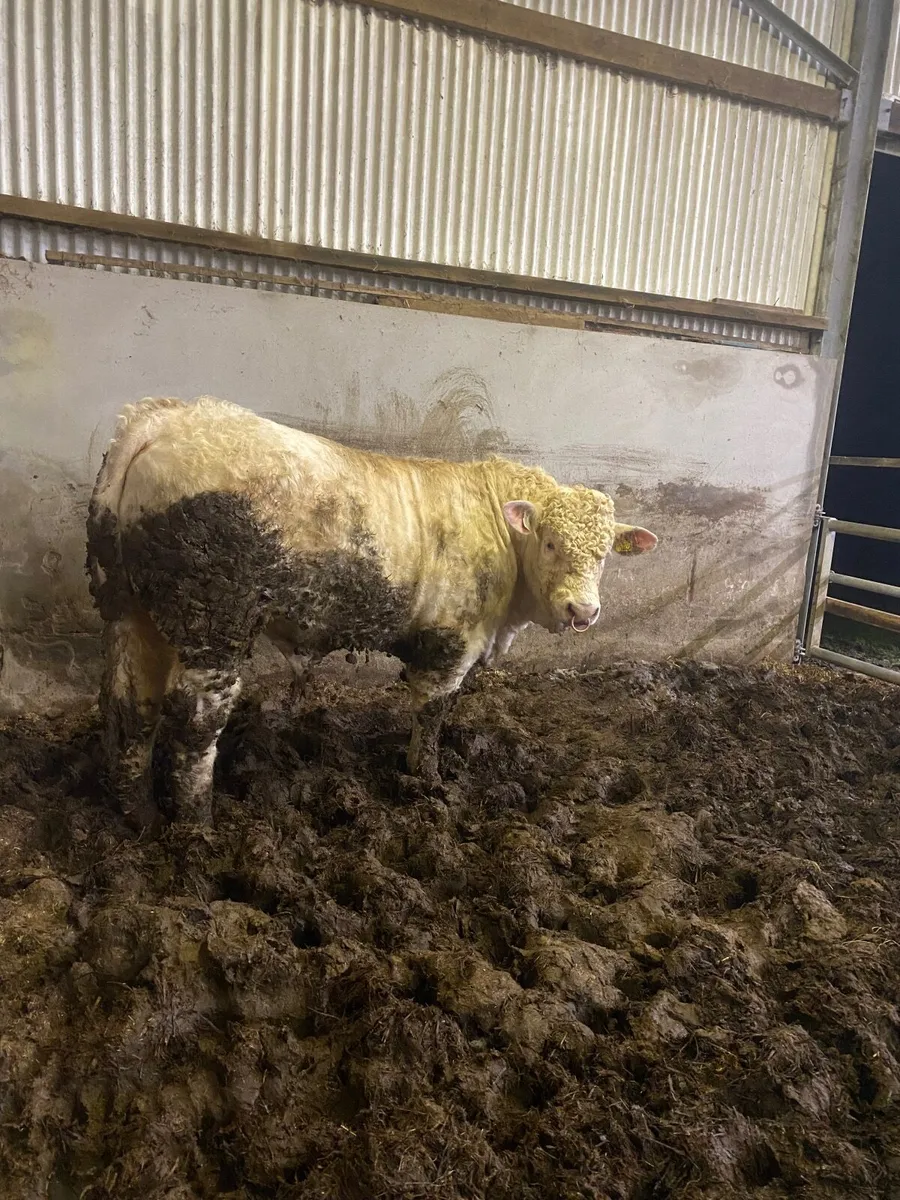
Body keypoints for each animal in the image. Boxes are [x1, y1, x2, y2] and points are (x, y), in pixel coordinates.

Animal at [86, 396, 657, 826]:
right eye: (551, 542)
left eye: (604, 554)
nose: (583, 609)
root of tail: (164, 418)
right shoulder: (452, 642)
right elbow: (431, 714)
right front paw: (426, 783)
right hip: (213, 621)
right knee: (196, 718)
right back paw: (196, 826)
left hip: (131, 609)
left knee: (130, 703)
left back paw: (137, 815)